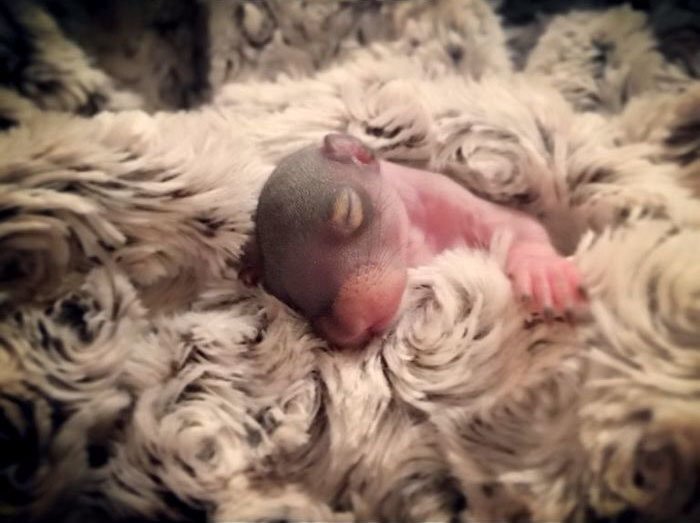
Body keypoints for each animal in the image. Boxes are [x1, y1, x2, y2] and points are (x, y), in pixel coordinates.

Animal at [242, 134, 584, 348]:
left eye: (350, 210)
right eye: (289, 298)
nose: (355, 323)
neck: (414, 241)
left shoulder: (447, 195)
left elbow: (518, 225)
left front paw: (544, 274)